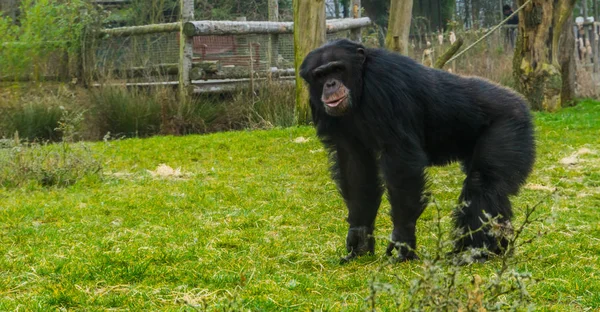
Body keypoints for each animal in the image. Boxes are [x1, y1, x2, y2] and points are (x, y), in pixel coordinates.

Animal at [298, 39, 536, 264]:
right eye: (320, 75)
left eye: (337, 69)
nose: (330, 84)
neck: (361, 85)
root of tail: (521, 101)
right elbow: (355, 166)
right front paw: (359, 237)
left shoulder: (386, 86)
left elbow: (401, 161)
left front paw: (403, 240)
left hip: (509, 126)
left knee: (484, 184)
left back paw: (475, 252)